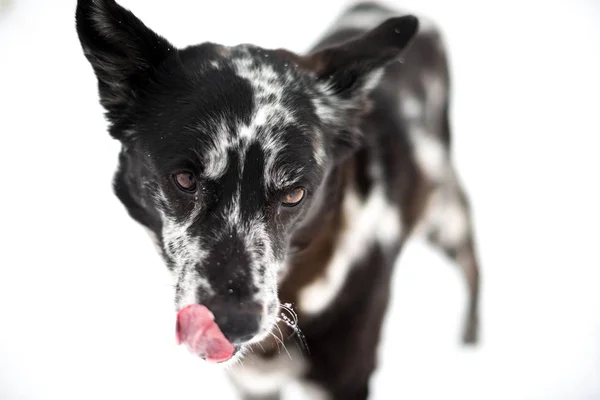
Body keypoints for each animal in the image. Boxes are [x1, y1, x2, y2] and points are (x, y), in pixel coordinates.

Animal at [75, 0, 482, 396]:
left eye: (294, 193)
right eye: (185, 179)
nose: (234, 323)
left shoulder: (348, 378)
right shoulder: (254, 382)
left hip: (446, 218)